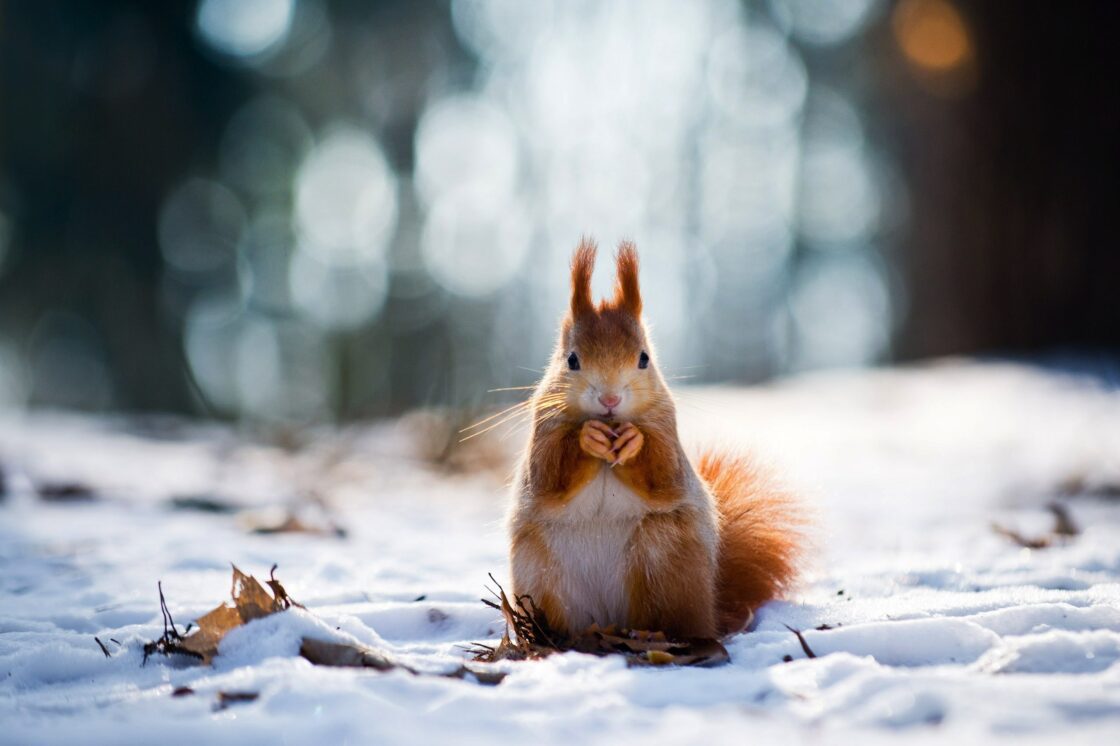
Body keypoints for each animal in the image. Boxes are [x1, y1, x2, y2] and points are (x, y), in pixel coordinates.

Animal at [508, 239, 806, 640]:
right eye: (571, 360)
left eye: (644, 358)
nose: (610, 400)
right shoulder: (543, 431)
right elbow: (548, 476)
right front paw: (587, 437)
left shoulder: (667, 431)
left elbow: (664, 474)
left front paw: (634, 442)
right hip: (540, 572)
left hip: (664, 556)